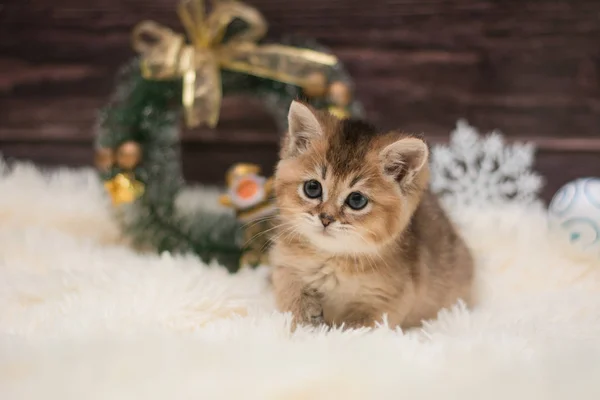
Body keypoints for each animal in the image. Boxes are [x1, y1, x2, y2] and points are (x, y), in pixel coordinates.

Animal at [270, 101, 474, 330]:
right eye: (312, 188)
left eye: (356, 200)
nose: (325, 218)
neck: (332, 260)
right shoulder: (286, 269)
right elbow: (294, 305)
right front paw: (306, 323)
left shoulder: (385, 301)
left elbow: (357, 328)